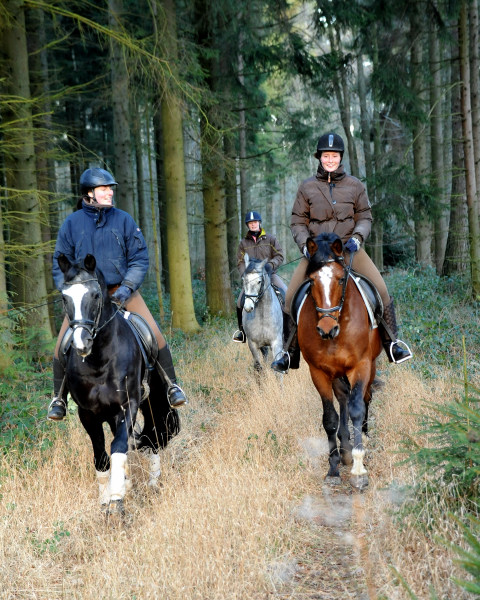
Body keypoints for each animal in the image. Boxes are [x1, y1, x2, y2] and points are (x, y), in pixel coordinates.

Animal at [56, 255, 180, 512]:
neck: (99, 360)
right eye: (64, 297)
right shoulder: (88, 414)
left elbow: (119, 447)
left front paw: (116, 499)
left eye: (95, 295)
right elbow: (102, 455)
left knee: (154, 434)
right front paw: (107, 498)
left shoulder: (127, 405)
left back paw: (152, 482)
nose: (81, 343)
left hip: (152, 401)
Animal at [298, 232, 380, 490]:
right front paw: (333, 467)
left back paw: (362, 438)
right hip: (336, 373)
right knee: (343, 399)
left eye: (341, 279)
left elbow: (356, 409)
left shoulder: (360, 366)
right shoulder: (319, 371)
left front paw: (359, 469)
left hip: (370, 365)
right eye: (311, 281)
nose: (326, 329)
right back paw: (345, 448)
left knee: (364, 398)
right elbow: (330, 418)